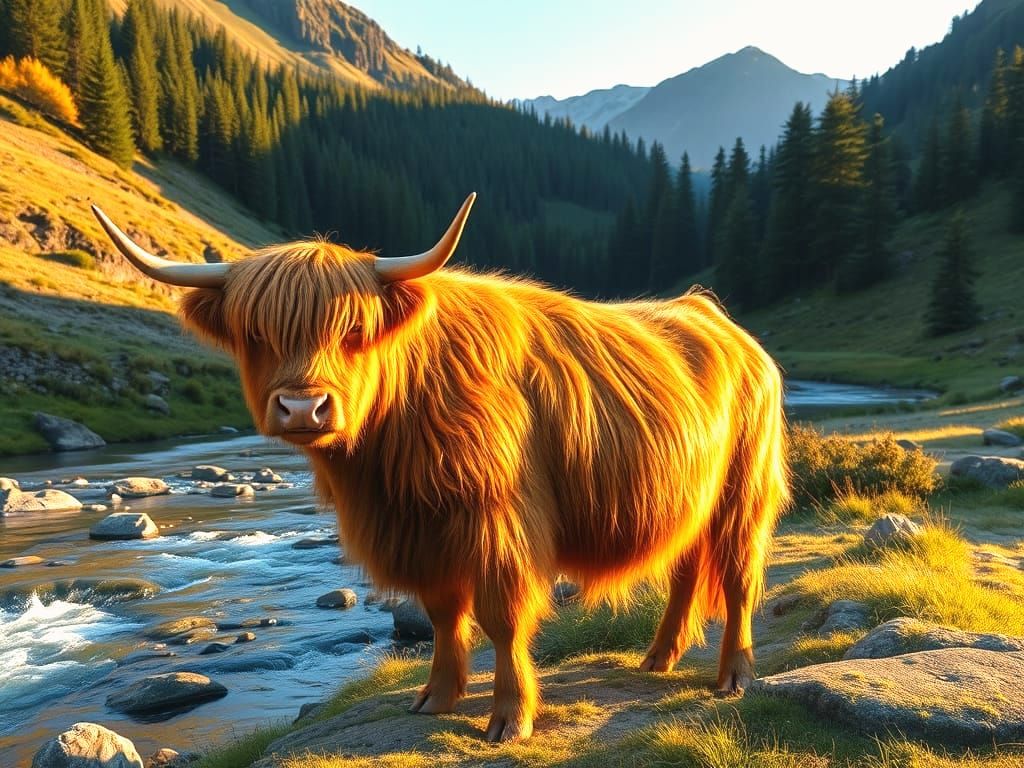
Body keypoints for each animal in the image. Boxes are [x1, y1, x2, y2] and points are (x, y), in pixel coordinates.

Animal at [91, 195, 789, 742]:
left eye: (353, 331)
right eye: (256, 334)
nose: (302, 407)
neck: (385, 461)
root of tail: (710, 313)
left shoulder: (498, 521)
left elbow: (501, 618)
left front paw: (510, 717)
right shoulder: (419, 529)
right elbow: (441, 613)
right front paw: (436, 698)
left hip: (744, 491)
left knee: (737, 578)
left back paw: (734, 676)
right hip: (690, 497)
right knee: (685, 569)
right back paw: (658, 659)